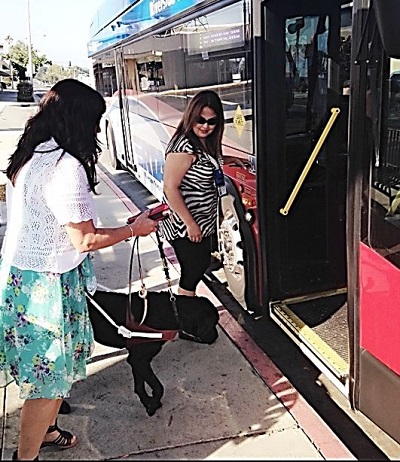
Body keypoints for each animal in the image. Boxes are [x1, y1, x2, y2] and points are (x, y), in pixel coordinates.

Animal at [86, 290, 220, 416]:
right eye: (212, 325)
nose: (216, 336)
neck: (173, 311)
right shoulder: (139, 359)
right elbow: (158, 387)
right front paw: (153, 403)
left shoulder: (137, 360)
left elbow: (139, 385)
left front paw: (147, 402)